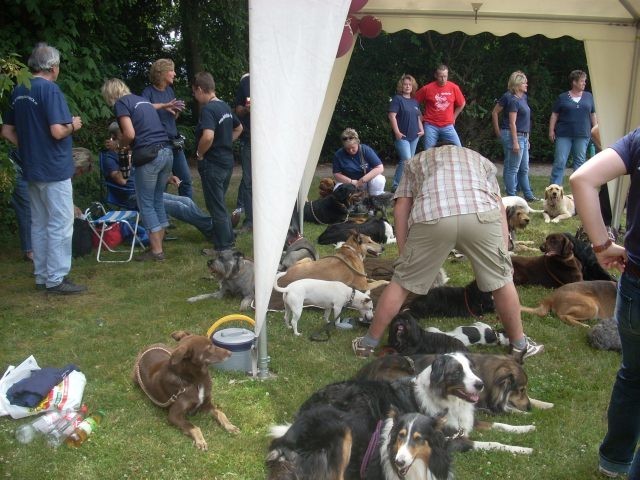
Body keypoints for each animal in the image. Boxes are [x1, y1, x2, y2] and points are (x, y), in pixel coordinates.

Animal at [267, 352, 534, 480]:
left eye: (471, 368)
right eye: (457, 372)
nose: (479, 384)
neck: (446, 398)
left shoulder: (463, 425)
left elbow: (496, 424)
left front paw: (526, 428)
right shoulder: (449, 440)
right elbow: (492, 443)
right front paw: (523, 449)